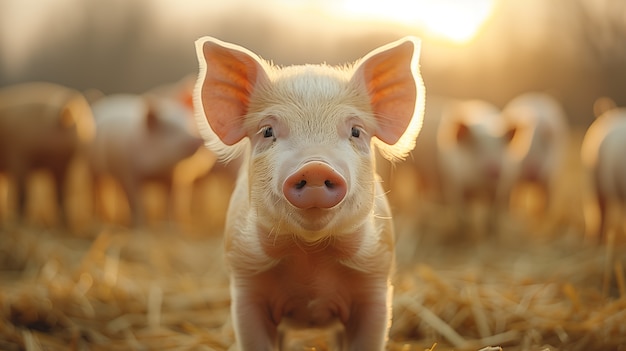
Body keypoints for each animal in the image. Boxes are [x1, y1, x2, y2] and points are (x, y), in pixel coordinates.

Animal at [88, 92, 202, 227]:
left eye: (188, 125)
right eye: (170, 130)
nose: (197, 140)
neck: (155, 172)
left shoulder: (174, 176)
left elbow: (172, 201)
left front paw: (171, 224)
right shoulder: (127, 172)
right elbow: (135, 200)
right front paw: (140, 225)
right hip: (92, 165)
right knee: (98, 188)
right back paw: (101, 218)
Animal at [193, 35, 422, 350]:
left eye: (356, 131)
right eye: (267, 131)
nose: (315, 167)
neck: (311, 258)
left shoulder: (375, 283)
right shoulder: (245, 285)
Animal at [500, 93, 568, 223]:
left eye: (544, 145)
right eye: (520, 144)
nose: (532, 168)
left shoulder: (549, 178)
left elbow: (545, 201)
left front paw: (542, 218)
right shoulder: (511, 178)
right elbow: (509, 197)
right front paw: (512, 215)